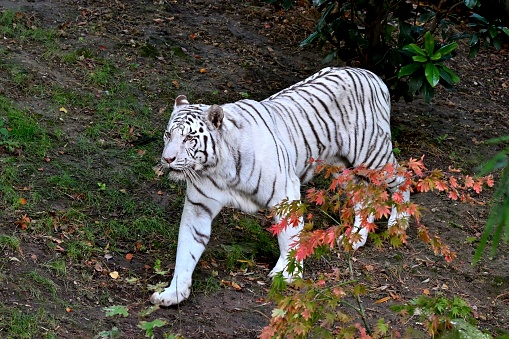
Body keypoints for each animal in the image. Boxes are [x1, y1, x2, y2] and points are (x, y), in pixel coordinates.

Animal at [150, 67, 408, 306]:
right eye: (168, 135)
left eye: (188, 138)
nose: (167, 158)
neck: (217, 168)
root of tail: (371, 75)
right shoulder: (198, 206)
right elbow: (187, 247)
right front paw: (173, 293)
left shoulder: (285, 192)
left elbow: (289, 236)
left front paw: (288, 275)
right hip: (341, 170)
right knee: (364, 196)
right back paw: (356, 237)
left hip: (373, 155)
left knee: (403, 177)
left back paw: (398, 223)